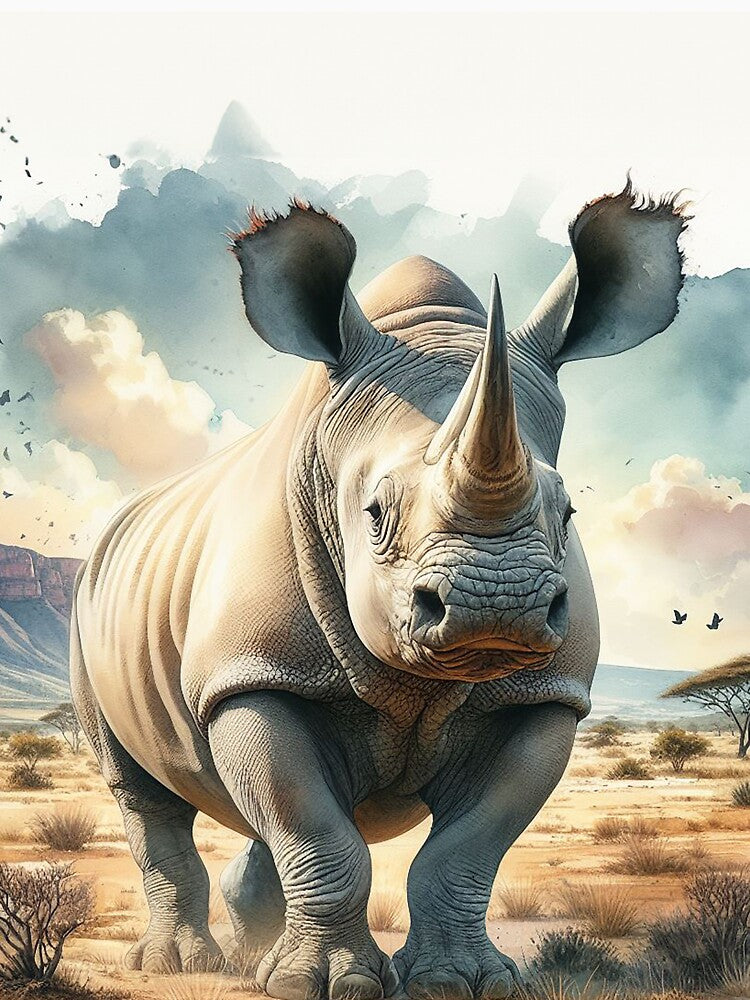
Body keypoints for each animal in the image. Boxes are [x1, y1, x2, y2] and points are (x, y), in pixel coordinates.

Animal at [70, 182, 687, 1000]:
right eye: (373, 514)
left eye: (567, 512)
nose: (498, 603)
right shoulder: (253, 673)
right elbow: (314, 830)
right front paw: (327, 984)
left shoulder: (546, 695)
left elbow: (464, 849)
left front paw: (462, 982)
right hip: (90, 606)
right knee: (146, 796)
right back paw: (182, 964)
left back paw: (252, 952)